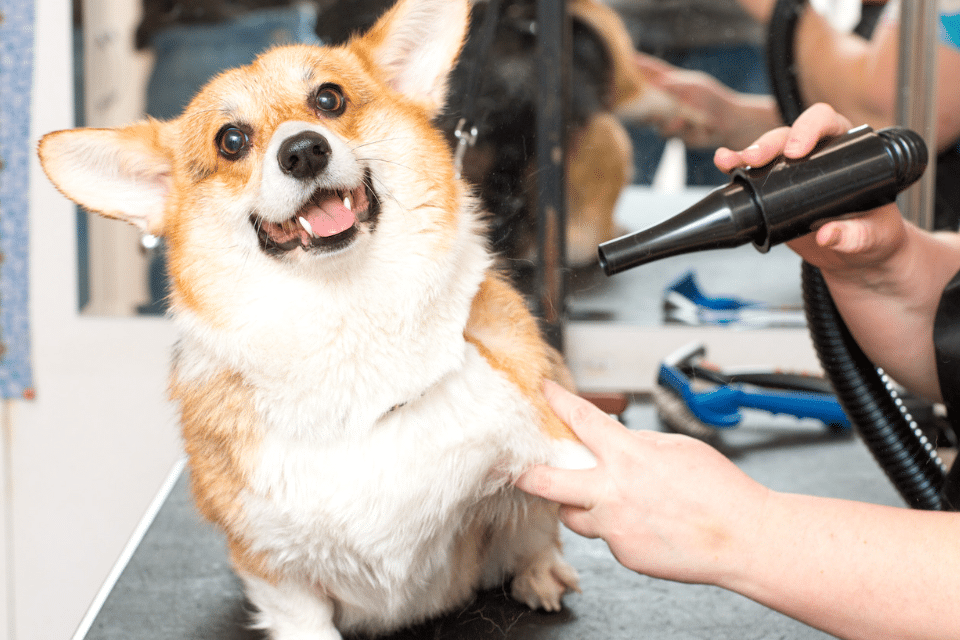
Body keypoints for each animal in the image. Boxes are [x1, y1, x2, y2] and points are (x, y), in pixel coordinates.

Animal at [39, 1, 592, 640]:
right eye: (231, 141)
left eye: (329, 99)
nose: (303, 150)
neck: (346, 318)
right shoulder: (278, 571)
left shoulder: (545, 443)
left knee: (534, 535)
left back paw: (539, 574)